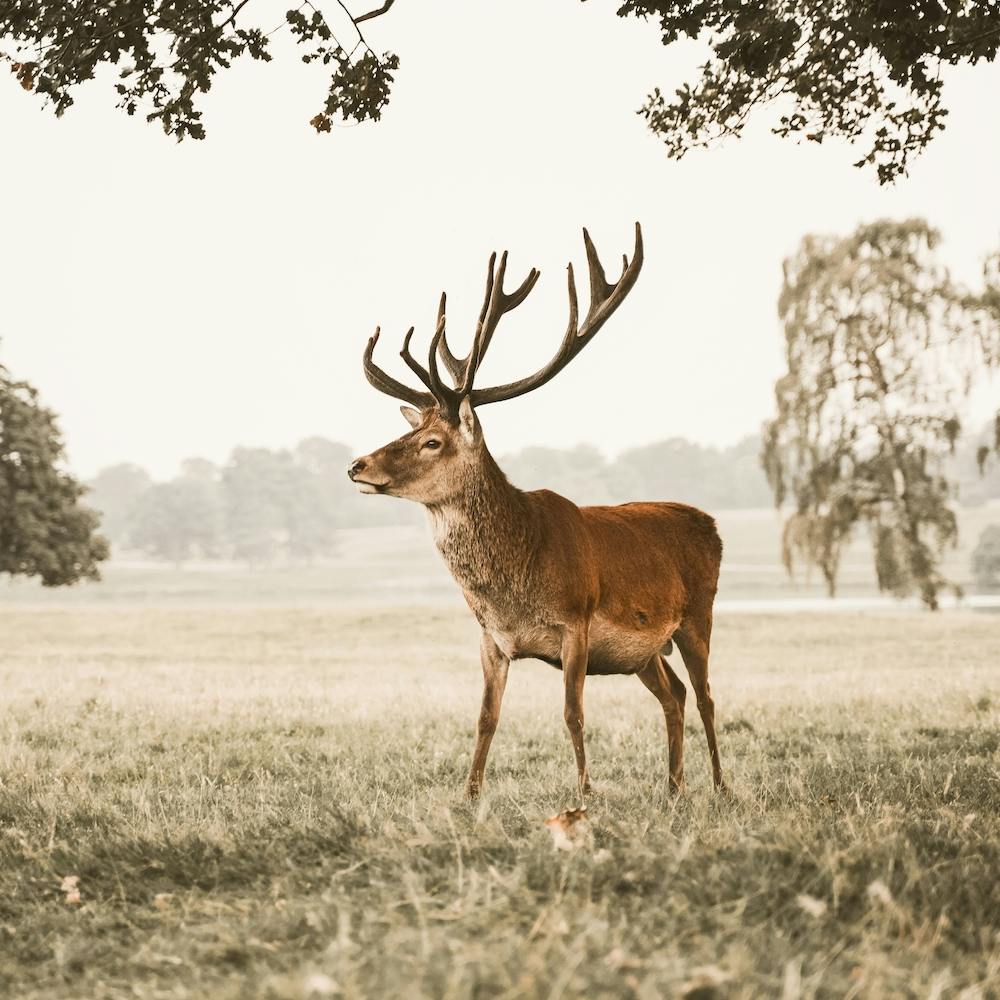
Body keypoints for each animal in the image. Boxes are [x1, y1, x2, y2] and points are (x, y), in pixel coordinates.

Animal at [348, 223, 724, 800]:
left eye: (432, 442)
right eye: (408, 431)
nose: (357, 464)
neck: (514, 584)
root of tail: (711, 524)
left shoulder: (576, 623)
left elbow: (573, 714)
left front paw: (585, 794)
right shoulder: (491, 639)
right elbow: (485, 717)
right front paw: (469, 795)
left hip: (698, 614)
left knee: (706, 696)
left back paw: (721, 787)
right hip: (644, 652)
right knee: (675, 694)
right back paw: (674, 787)